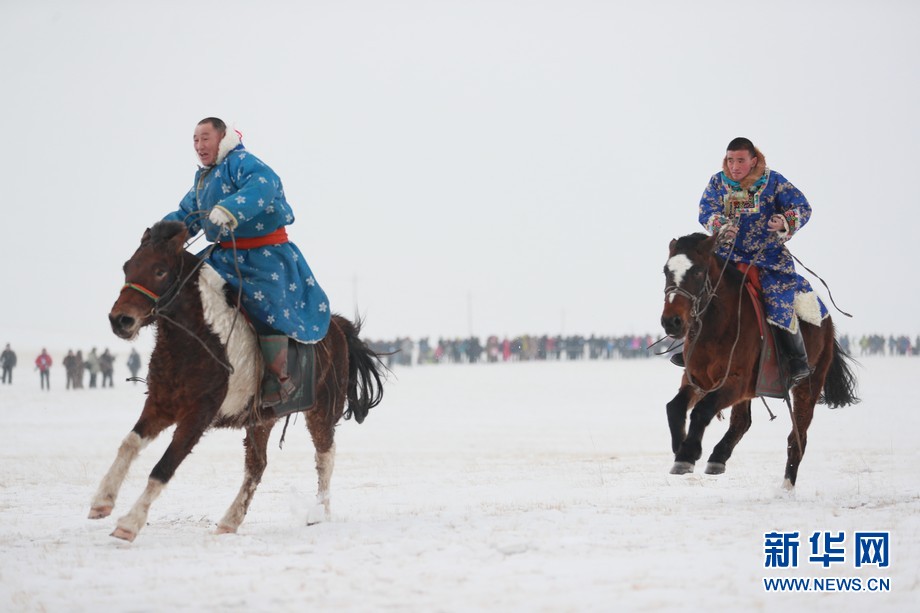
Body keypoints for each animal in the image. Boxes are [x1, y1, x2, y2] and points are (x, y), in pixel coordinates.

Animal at [90, 220, 384, 540]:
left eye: (160, 270)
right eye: (127, 267)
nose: (121, 320)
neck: (199, 340)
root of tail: (338, 327)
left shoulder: (198, 415)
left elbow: (164, 467)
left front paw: (129, 523)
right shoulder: (160, 405)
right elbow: (129, 444)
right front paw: (102, 501)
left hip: (322, 411)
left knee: (324, 457)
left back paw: (319, 514)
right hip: (263, 419)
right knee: (257, 466)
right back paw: (230, 520)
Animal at [656, 233, 860, 488]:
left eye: (697, 271)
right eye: (666, 270)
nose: (671, 322)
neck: (716, 327)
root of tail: (827, 321)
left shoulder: (736, 380)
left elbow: (702, 411)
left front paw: (687, 453)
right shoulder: (697, 379)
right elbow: (674, 407)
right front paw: (680, 447)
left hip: (808, 386)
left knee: (797, 439)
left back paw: (786, 488)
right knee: (742, 421)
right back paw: (718, 457)